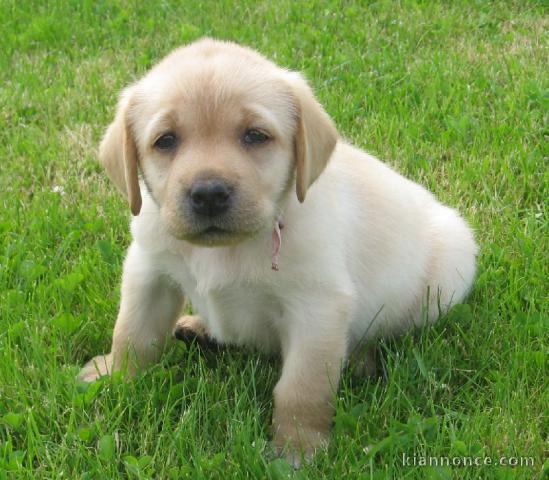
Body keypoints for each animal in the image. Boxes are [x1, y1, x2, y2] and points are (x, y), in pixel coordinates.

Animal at [79, 37, 478, 464]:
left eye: (255, 136)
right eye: (166, 140)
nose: (208, 194)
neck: (229, 248)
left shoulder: (317, 307)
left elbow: (302, 387)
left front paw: (297, 449)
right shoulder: (149, 269)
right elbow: (132, 331)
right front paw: (113, 375)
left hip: (448, 269)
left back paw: (361, 357)